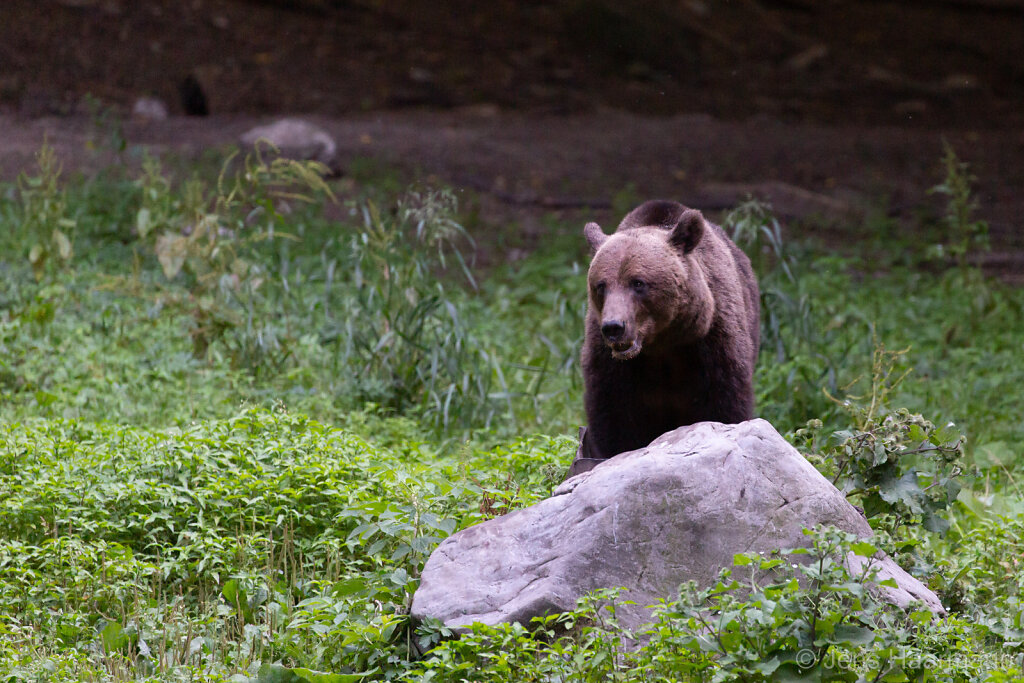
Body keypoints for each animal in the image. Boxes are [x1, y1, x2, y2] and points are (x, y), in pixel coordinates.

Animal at [581, 200, 757, 462]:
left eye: (638, 283)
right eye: (601, 286)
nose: (614, 327)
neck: (662, 344)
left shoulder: (712, 343)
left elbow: (724, 404)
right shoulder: (611, 366)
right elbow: (614, 417)